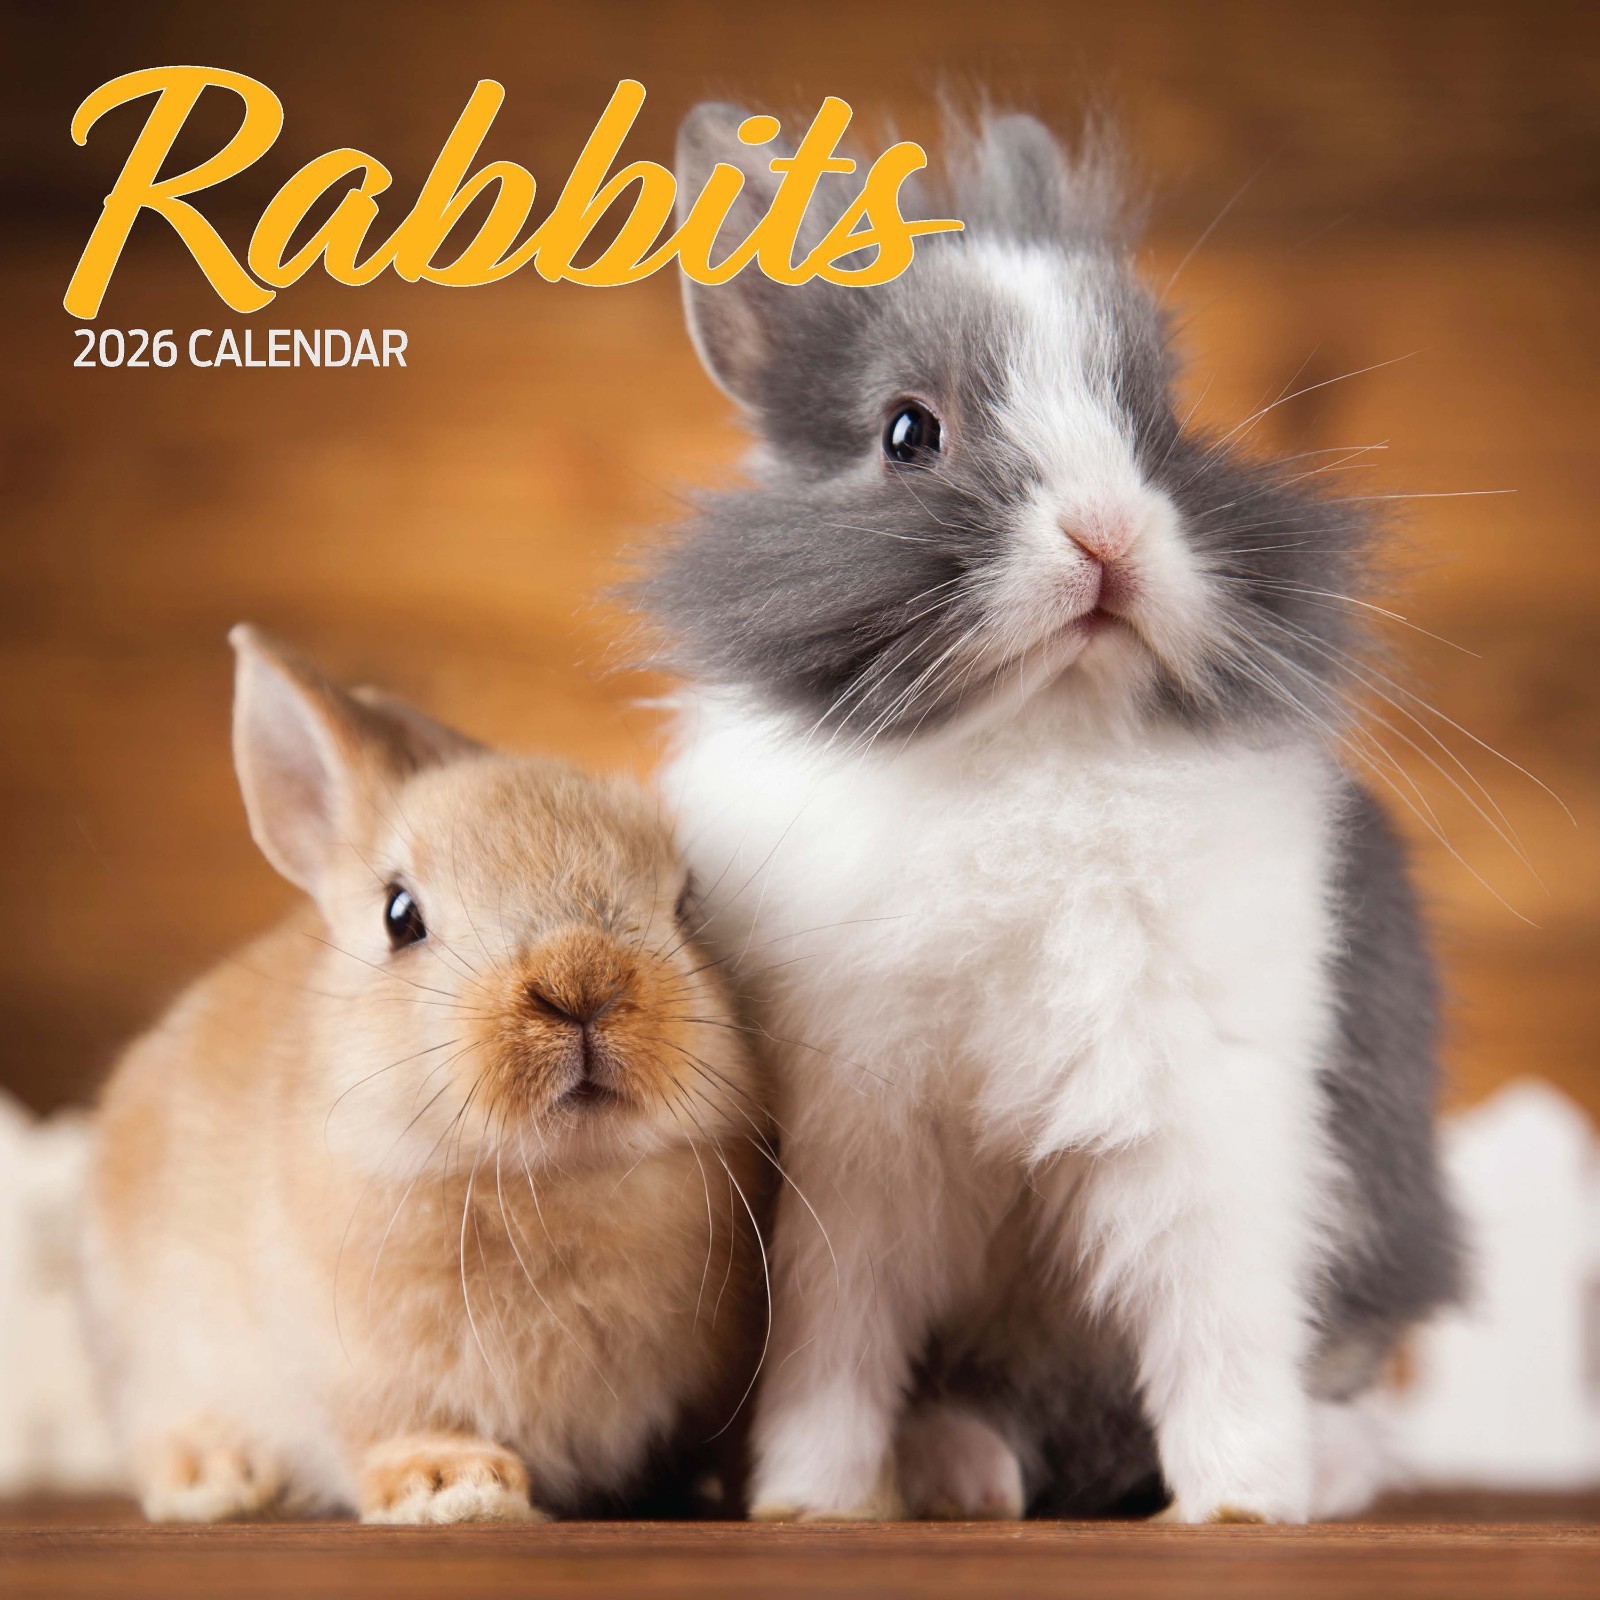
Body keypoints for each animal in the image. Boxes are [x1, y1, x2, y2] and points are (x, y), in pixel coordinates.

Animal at [81, 626, 769, 1524]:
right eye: (399, 915)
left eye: (689, 905)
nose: (583, 981)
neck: (548, 1182)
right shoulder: (357, 1368)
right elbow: (390, 1426)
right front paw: (455, 1489)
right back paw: (217, 1480)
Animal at [632, 105, 1464, 1525]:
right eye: (907, 432)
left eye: (1160, 419)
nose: (1107, 534)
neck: (1037, 740)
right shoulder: (857, 1151)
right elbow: (835, 1336)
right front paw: (808, 1499)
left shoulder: (1207, 1121)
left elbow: (1216, 1324)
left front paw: (1244, 1503)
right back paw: (957, 1473)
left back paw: (1327, 1466)